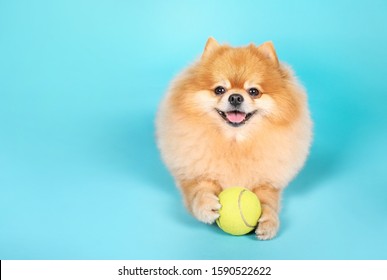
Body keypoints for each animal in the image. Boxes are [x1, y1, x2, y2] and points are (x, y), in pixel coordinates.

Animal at [155, 36, 312, 238]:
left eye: (253, 91)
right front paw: (206, 205)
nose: (236, 97)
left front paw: (269, 221)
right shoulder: (196, 174)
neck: (234, 142)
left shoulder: (267, 184)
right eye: (219, 90)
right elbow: (199, 190)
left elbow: (269, 202)